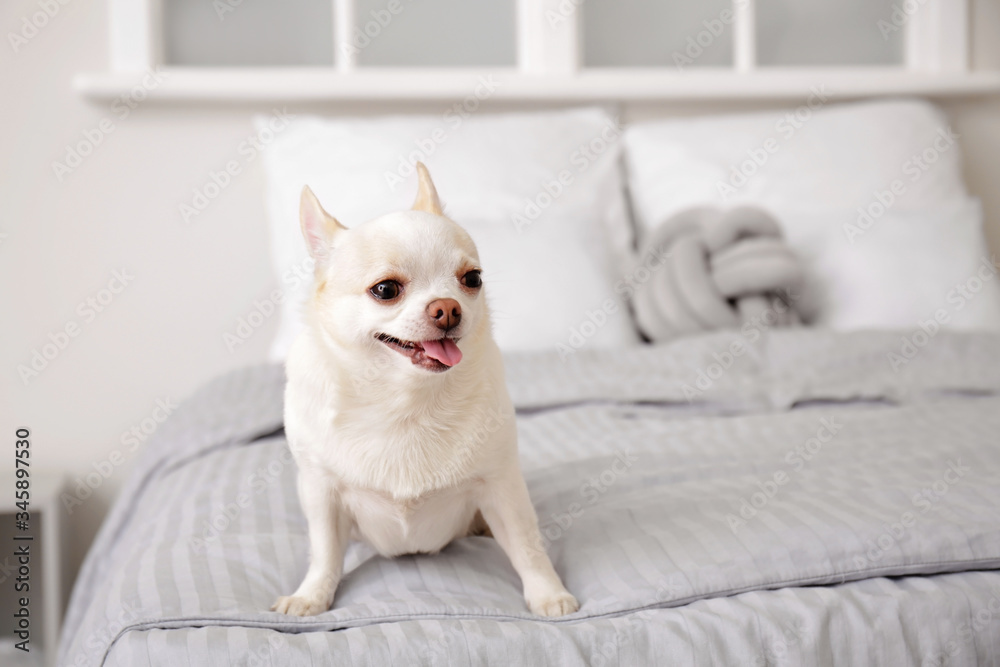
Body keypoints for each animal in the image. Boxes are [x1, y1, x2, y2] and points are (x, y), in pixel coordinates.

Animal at [274, 164, 580, 620]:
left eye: (472, 279)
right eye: (385, 290)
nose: (448, 308)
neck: (406, 399)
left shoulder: (502, 486)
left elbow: (527, 546)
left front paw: (547, 593)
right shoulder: (321, 492)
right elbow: (325, 551)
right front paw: (312, 595)